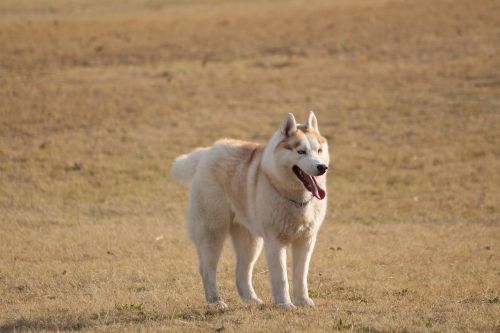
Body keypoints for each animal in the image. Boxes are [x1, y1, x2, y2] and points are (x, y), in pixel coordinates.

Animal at [172, 111, 328, 308]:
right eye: (301, 152)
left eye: (319, 151)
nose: (322, 167)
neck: (296, 199)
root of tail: (207, 152)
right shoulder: (275, 241)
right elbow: (281, 278)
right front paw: (285, 305)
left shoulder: (306, 240)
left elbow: (301, 275)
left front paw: (303, 301)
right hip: (212, 233)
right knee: (207, 270)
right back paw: (215, 302)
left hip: (250, 241)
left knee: (242, 272)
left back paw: (252, 300)